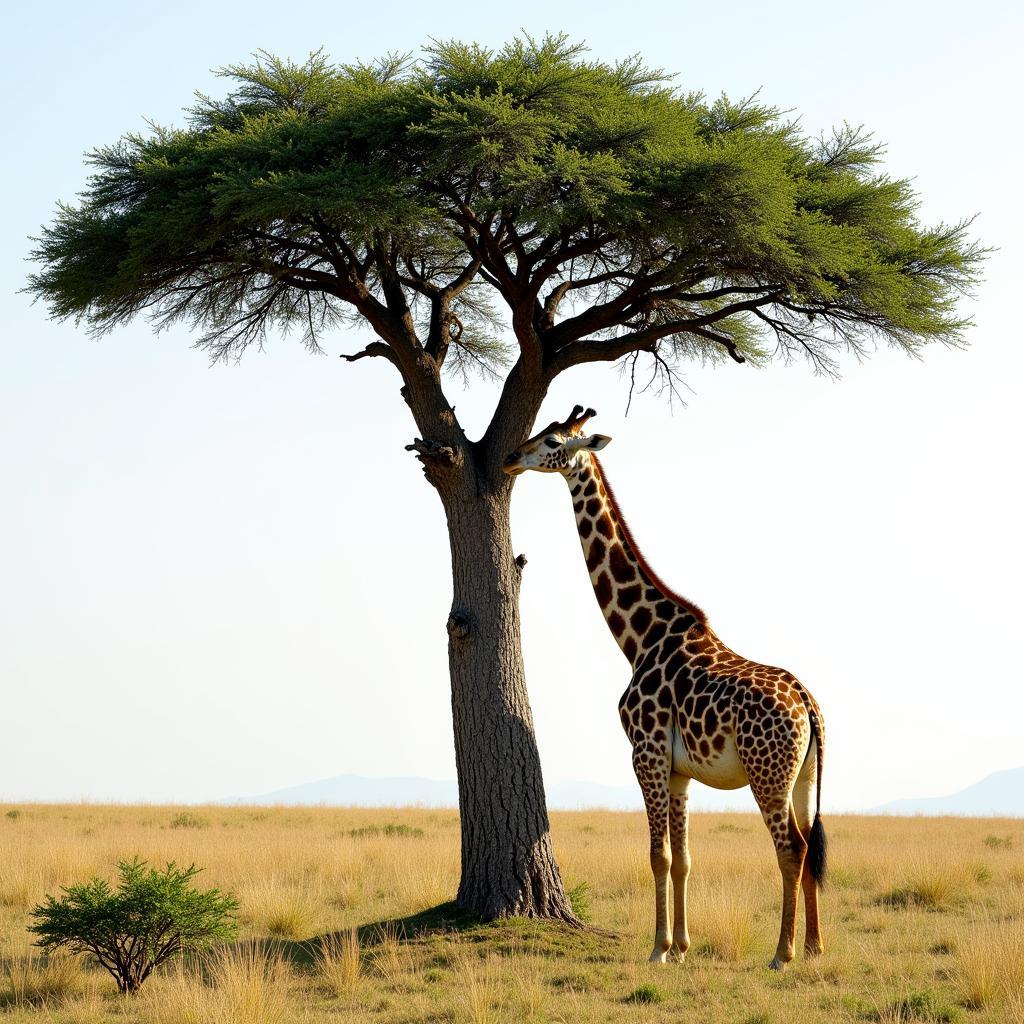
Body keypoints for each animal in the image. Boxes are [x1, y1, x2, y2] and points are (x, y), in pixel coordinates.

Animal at [501, 405, 823, 966]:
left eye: (554, 440)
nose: (511, 458)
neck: (638, 637)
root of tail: (807, 703)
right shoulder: (679, 770)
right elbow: (683, 858)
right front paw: (682, 946)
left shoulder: (644, 752)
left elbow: (657, 854)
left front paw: (657, 949)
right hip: (803, 777)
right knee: (811, 843)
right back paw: (813, 946)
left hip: (767, 773)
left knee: (792, 848)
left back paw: (782, 953)